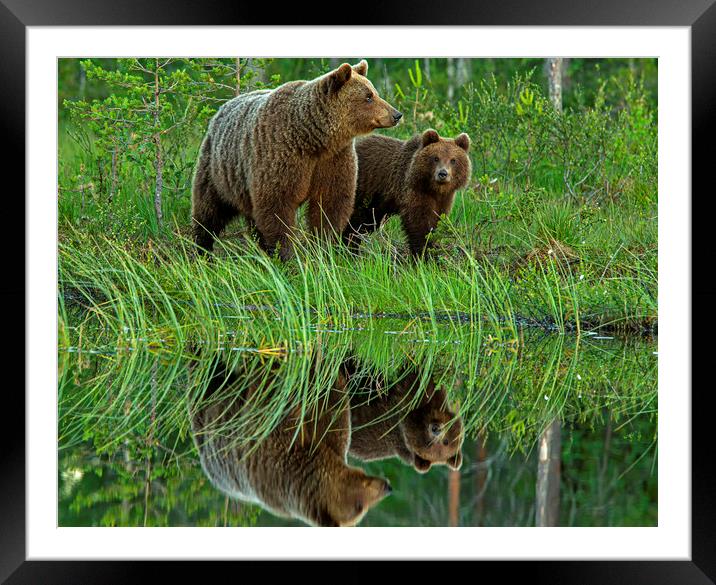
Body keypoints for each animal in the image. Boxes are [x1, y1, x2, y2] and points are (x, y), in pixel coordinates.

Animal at [190, 60, 402, 258]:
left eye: (375, 92)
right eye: (368, 96)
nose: (396, 114)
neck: (314, 139)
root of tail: (223, 108)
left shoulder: (333, 160)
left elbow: (330, 204)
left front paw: (325, 246)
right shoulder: (282, 156)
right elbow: (276, 207)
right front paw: (285, 254)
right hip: (218, 170)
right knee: (208, 211)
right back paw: (202, 249)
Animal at [346, 128, 472, 256]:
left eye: (453, 160)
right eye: (436, 158)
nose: (442, 174)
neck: (434, 189)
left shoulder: (444, 199)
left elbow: (435, 222)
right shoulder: (414, 193)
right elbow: (419, 224)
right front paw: (422, 253)